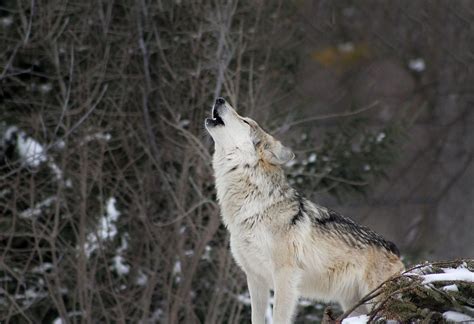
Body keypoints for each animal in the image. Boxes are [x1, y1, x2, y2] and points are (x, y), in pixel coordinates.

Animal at [204, 97, 404, 322]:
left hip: (375, 300)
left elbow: (279, 317)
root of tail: (395, 249)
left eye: (245, 121)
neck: (254, 206)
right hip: (354, 305)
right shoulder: (255, 278)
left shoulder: (285, 275)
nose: (220, 99)